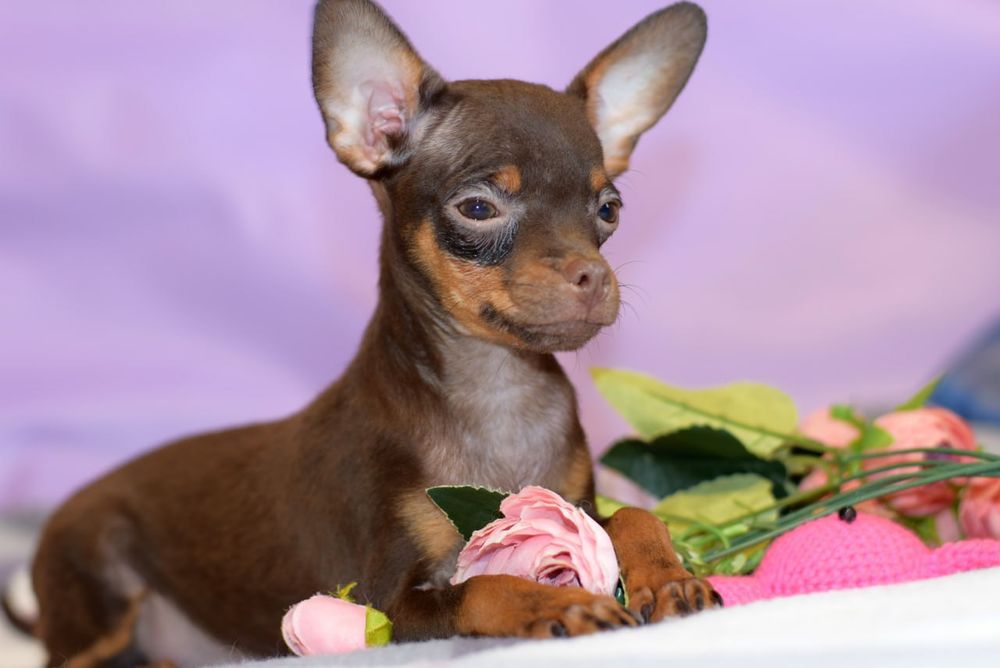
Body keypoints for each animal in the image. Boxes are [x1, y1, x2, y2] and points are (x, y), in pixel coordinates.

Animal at [9, 1, 715, 665]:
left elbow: (634, 513)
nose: (594, 276)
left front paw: (668, 576)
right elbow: (482, 588)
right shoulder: (386, 605)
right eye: (478, 208)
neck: (498, 389)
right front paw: (557, 603)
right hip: (97, 594)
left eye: (609, 210)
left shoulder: (576, 508)